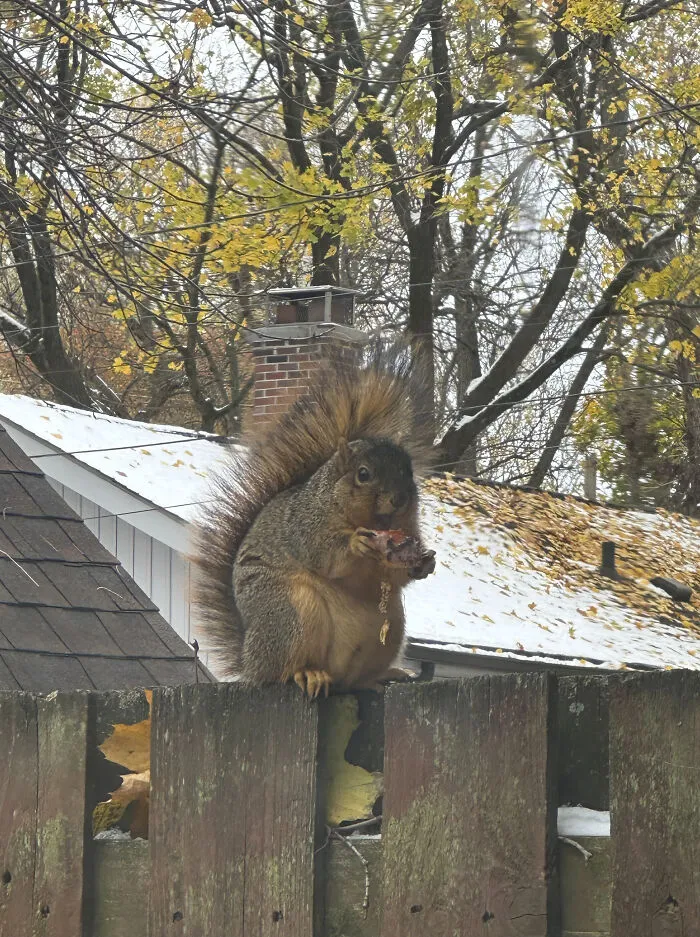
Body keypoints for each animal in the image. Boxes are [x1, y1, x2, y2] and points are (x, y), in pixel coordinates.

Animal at [194, 352, 436, 698]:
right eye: (363, 474)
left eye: (409, 473)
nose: (400, 498)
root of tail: (250, 662)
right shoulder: (304, 524)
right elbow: (323, 554)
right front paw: (355, 543)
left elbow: (395, 577)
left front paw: (424, 563)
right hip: (289, 613)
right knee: (282, 670)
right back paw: (308, 674)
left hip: (391, 628)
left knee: (355, 679)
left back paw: (380, 677)